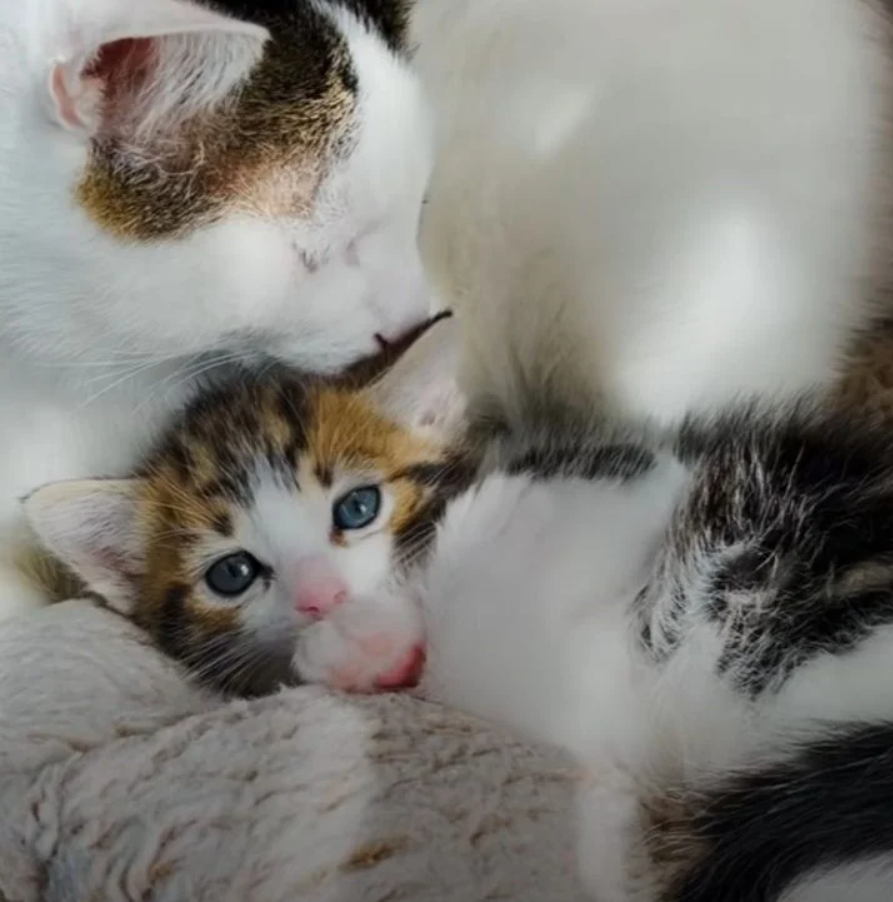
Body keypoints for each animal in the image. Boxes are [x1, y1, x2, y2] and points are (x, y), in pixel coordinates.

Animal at [22, 318, 893, 902]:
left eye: (358, 507)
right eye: (233, 573)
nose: (322, 596)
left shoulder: (635, 477)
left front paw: (504, 521)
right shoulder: (590, 717)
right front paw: (364, 648)